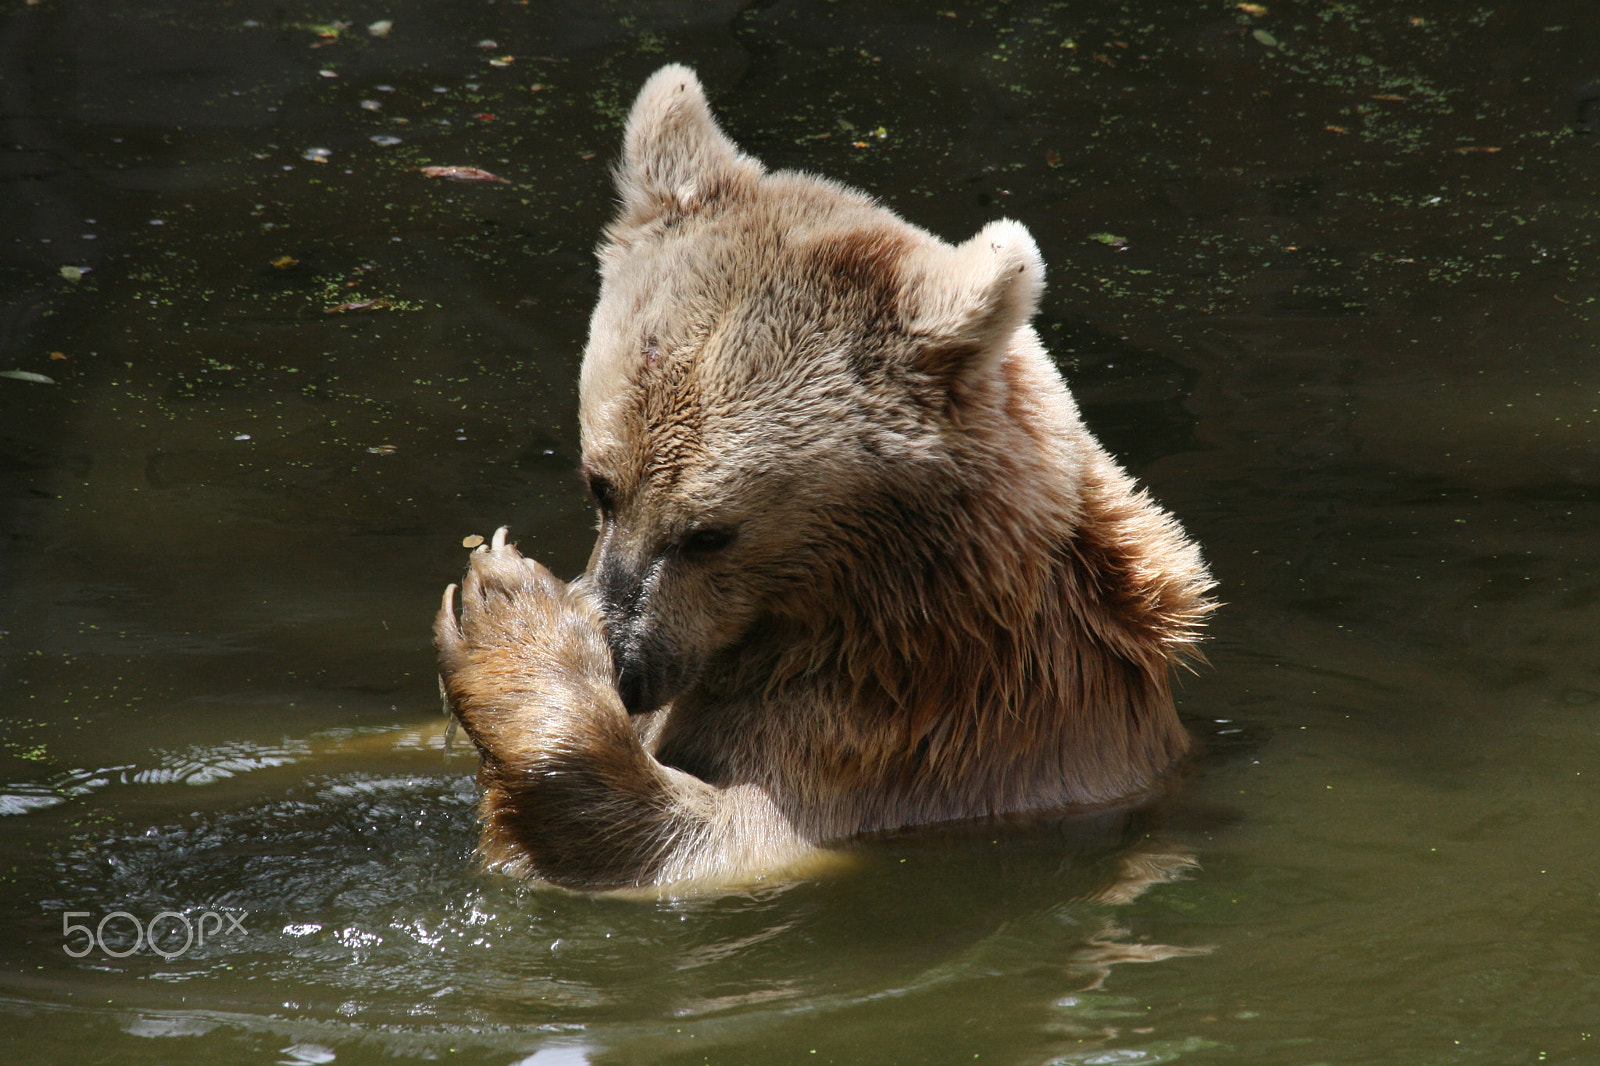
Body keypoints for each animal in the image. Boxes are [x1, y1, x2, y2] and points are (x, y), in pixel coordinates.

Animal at [435, 62, 1209, 883]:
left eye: (710, 533)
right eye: (600, 485)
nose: (626, 666)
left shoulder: (908, 746)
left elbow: (709, 837)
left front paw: (506, 609)